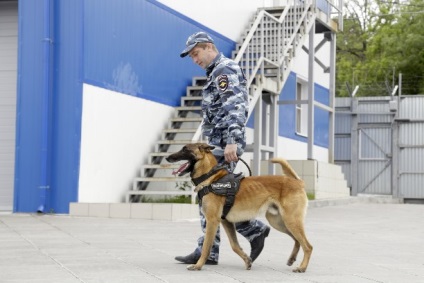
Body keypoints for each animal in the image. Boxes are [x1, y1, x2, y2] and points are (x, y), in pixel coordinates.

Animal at [166, 144, 312, 272]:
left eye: (185, 149)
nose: (167, 158)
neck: (211, 178)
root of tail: (297, 181)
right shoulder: (226, 222)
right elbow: (234, 245)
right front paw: (247, 260)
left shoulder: (212, 221)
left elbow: (206, 247)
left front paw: (198, 265)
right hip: (279, 222)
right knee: (297, 240)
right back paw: (292, 259)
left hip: (291, 221)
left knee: (308, 246)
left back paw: (302, 267)